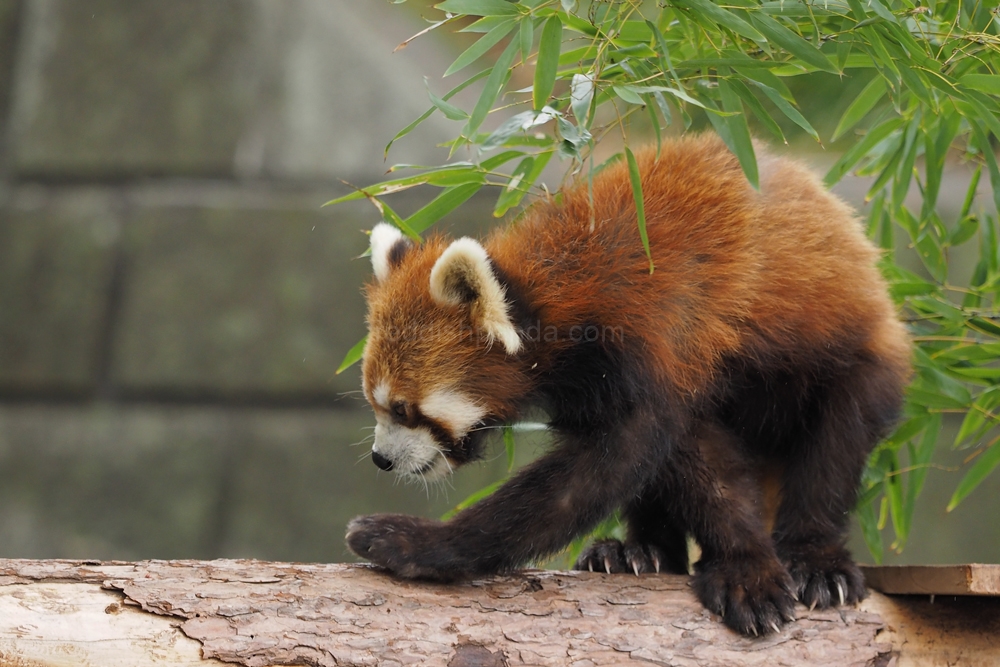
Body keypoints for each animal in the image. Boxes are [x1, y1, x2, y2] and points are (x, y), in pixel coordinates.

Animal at [346, 134, 916, 636]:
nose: (381, 459)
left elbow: (604, 468)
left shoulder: (656, 342)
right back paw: (641, 551)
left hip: (849, 356)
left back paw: (816, 558)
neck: (561, 303)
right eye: (376, 405)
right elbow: (671, 463)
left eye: (404, 409)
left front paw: (417, 543)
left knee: (832, 451)